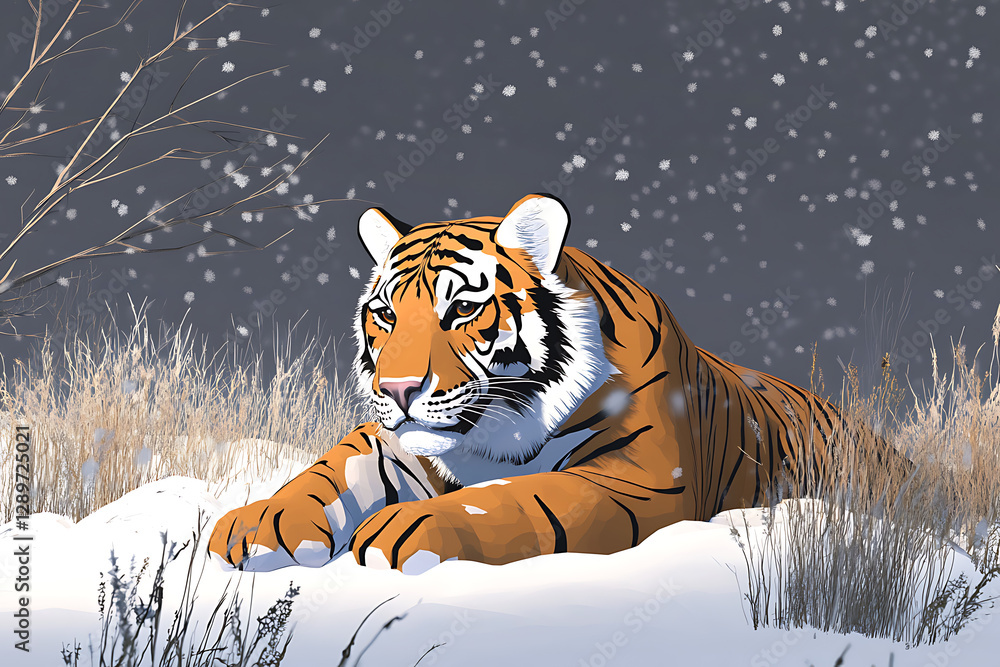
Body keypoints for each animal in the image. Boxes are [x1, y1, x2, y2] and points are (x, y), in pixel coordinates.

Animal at [208, 193, 885, 575]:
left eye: (461, 309)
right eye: (386, 315)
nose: (398, 389)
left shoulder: (637, 478)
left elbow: (516, 496)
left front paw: (409, 528)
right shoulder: (387, 441)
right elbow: (324, 473)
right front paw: (258, 524)